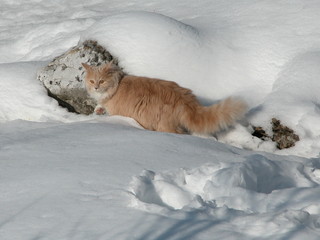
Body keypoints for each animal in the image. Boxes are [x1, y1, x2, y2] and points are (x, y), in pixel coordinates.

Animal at [81, 62, 246, 135]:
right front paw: (98, 109)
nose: (96, 87)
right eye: (92, 81)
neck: (116, 86)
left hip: (164, 124)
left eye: (102, 81)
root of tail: (184, 97)